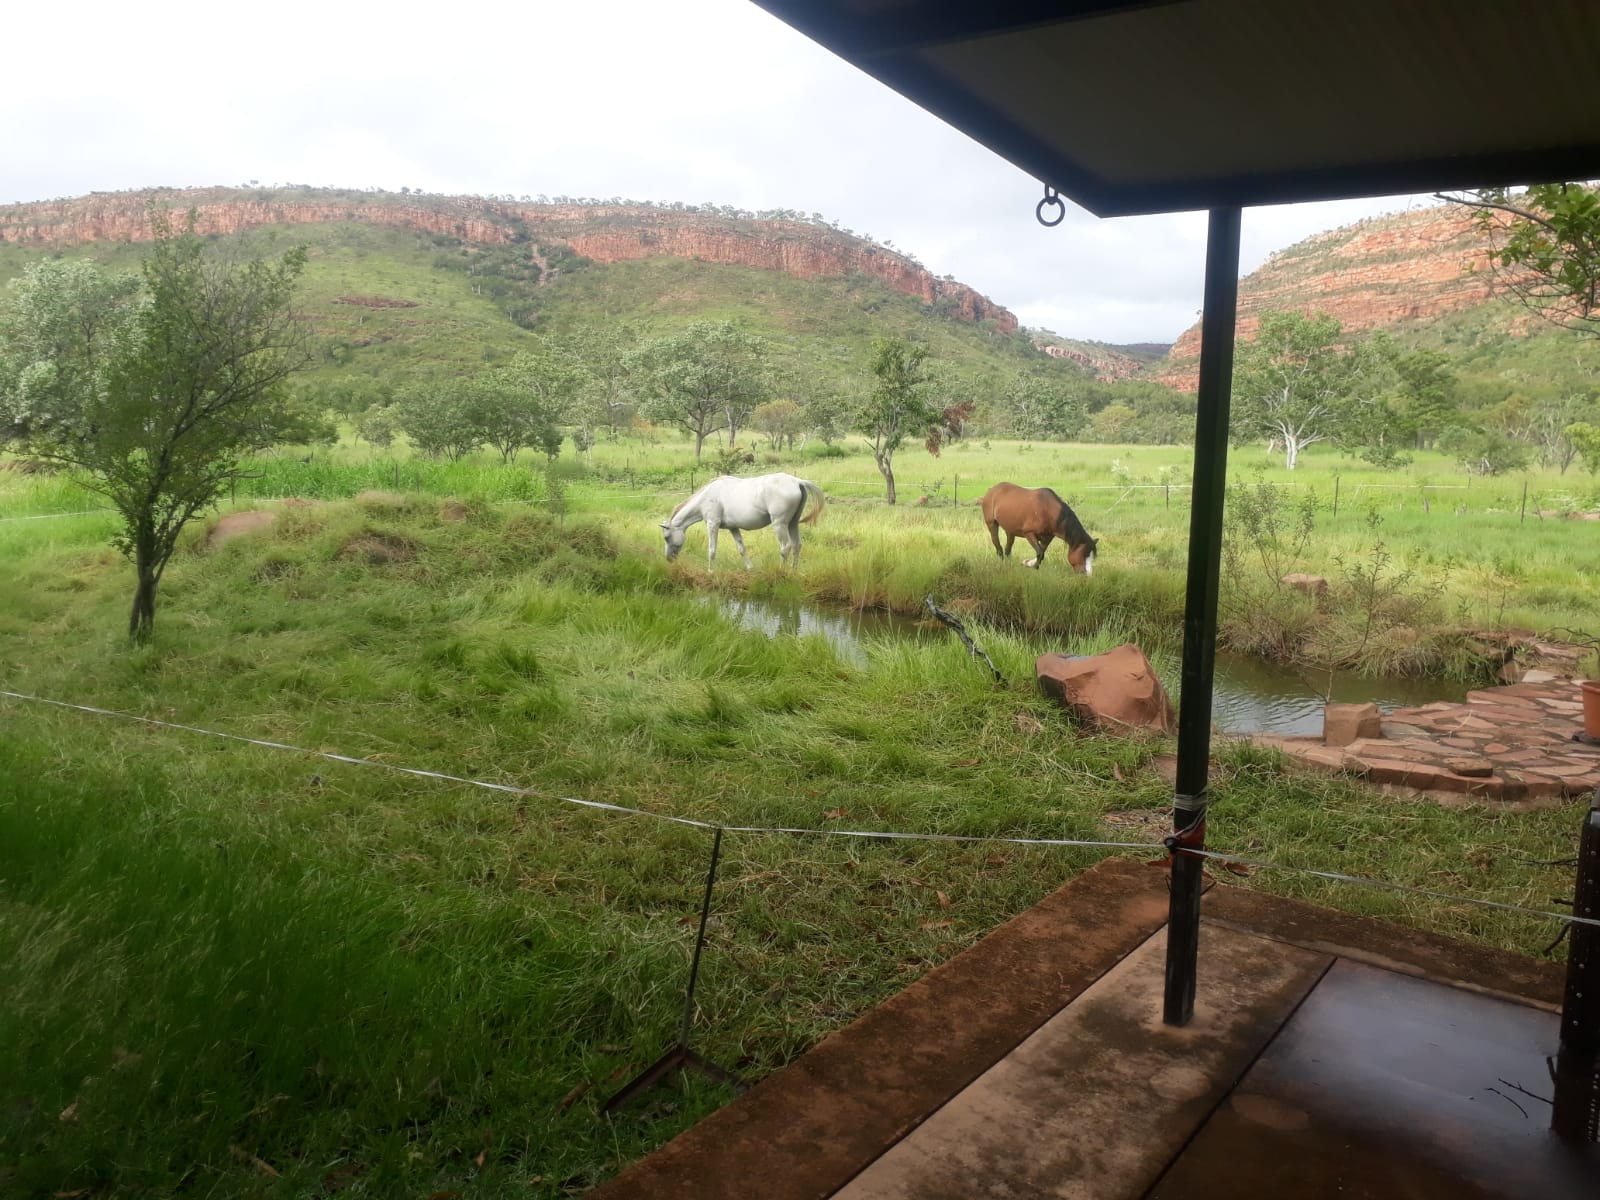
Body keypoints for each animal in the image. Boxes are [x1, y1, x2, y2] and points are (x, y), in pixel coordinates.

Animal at [665, 473, 832, 569]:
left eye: (666, 537)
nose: (669, 559)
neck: (707, 496)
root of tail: (798, 481)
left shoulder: (713, 524)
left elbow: (712, 551)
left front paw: (710, 572)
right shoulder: (733, 528)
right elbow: (742, 549)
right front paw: (750, 568)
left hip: (780, 524)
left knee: (785, 547)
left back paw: (782, 573)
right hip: (793, 524)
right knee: (797, 545)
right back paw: (793, 572)